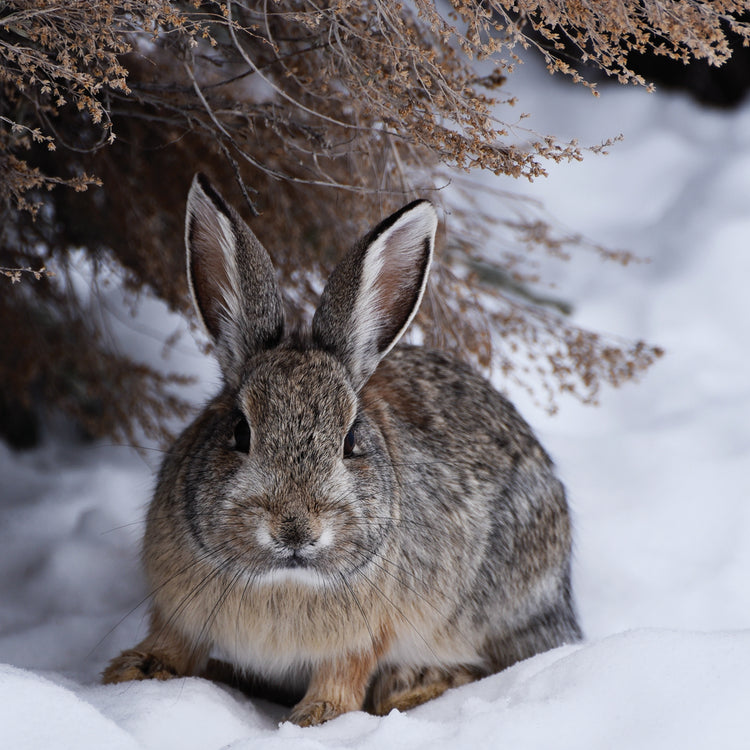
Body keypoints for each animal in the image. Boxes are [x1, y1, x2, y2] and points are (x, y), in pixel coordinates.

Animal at [102, 173, 582, 726]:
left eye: (351, 440)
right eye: (240, 432)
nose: (295, 530)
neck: (283, 580)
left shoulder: (363, 636)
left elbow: (343, 675)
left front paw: (315, 717)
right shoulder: (176, 607)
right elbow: (174, 643)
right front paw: (135, 671)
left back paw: (412, 688)